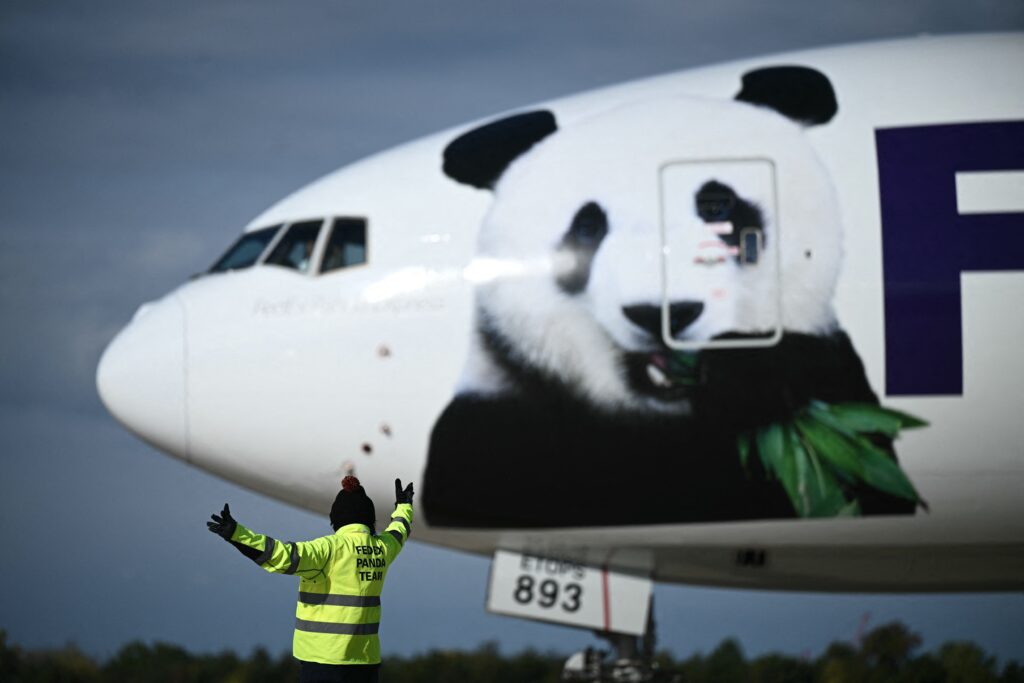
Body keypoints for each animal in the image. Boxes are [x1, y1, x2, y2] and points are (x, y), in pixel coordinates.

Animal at [422, 66, 915, 528]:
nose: (662, 314)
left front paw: (751, 374)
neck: (665, 417)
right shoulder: (496, 433)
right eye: (588, 226)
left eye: (717, 206)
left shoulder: (840, 393)